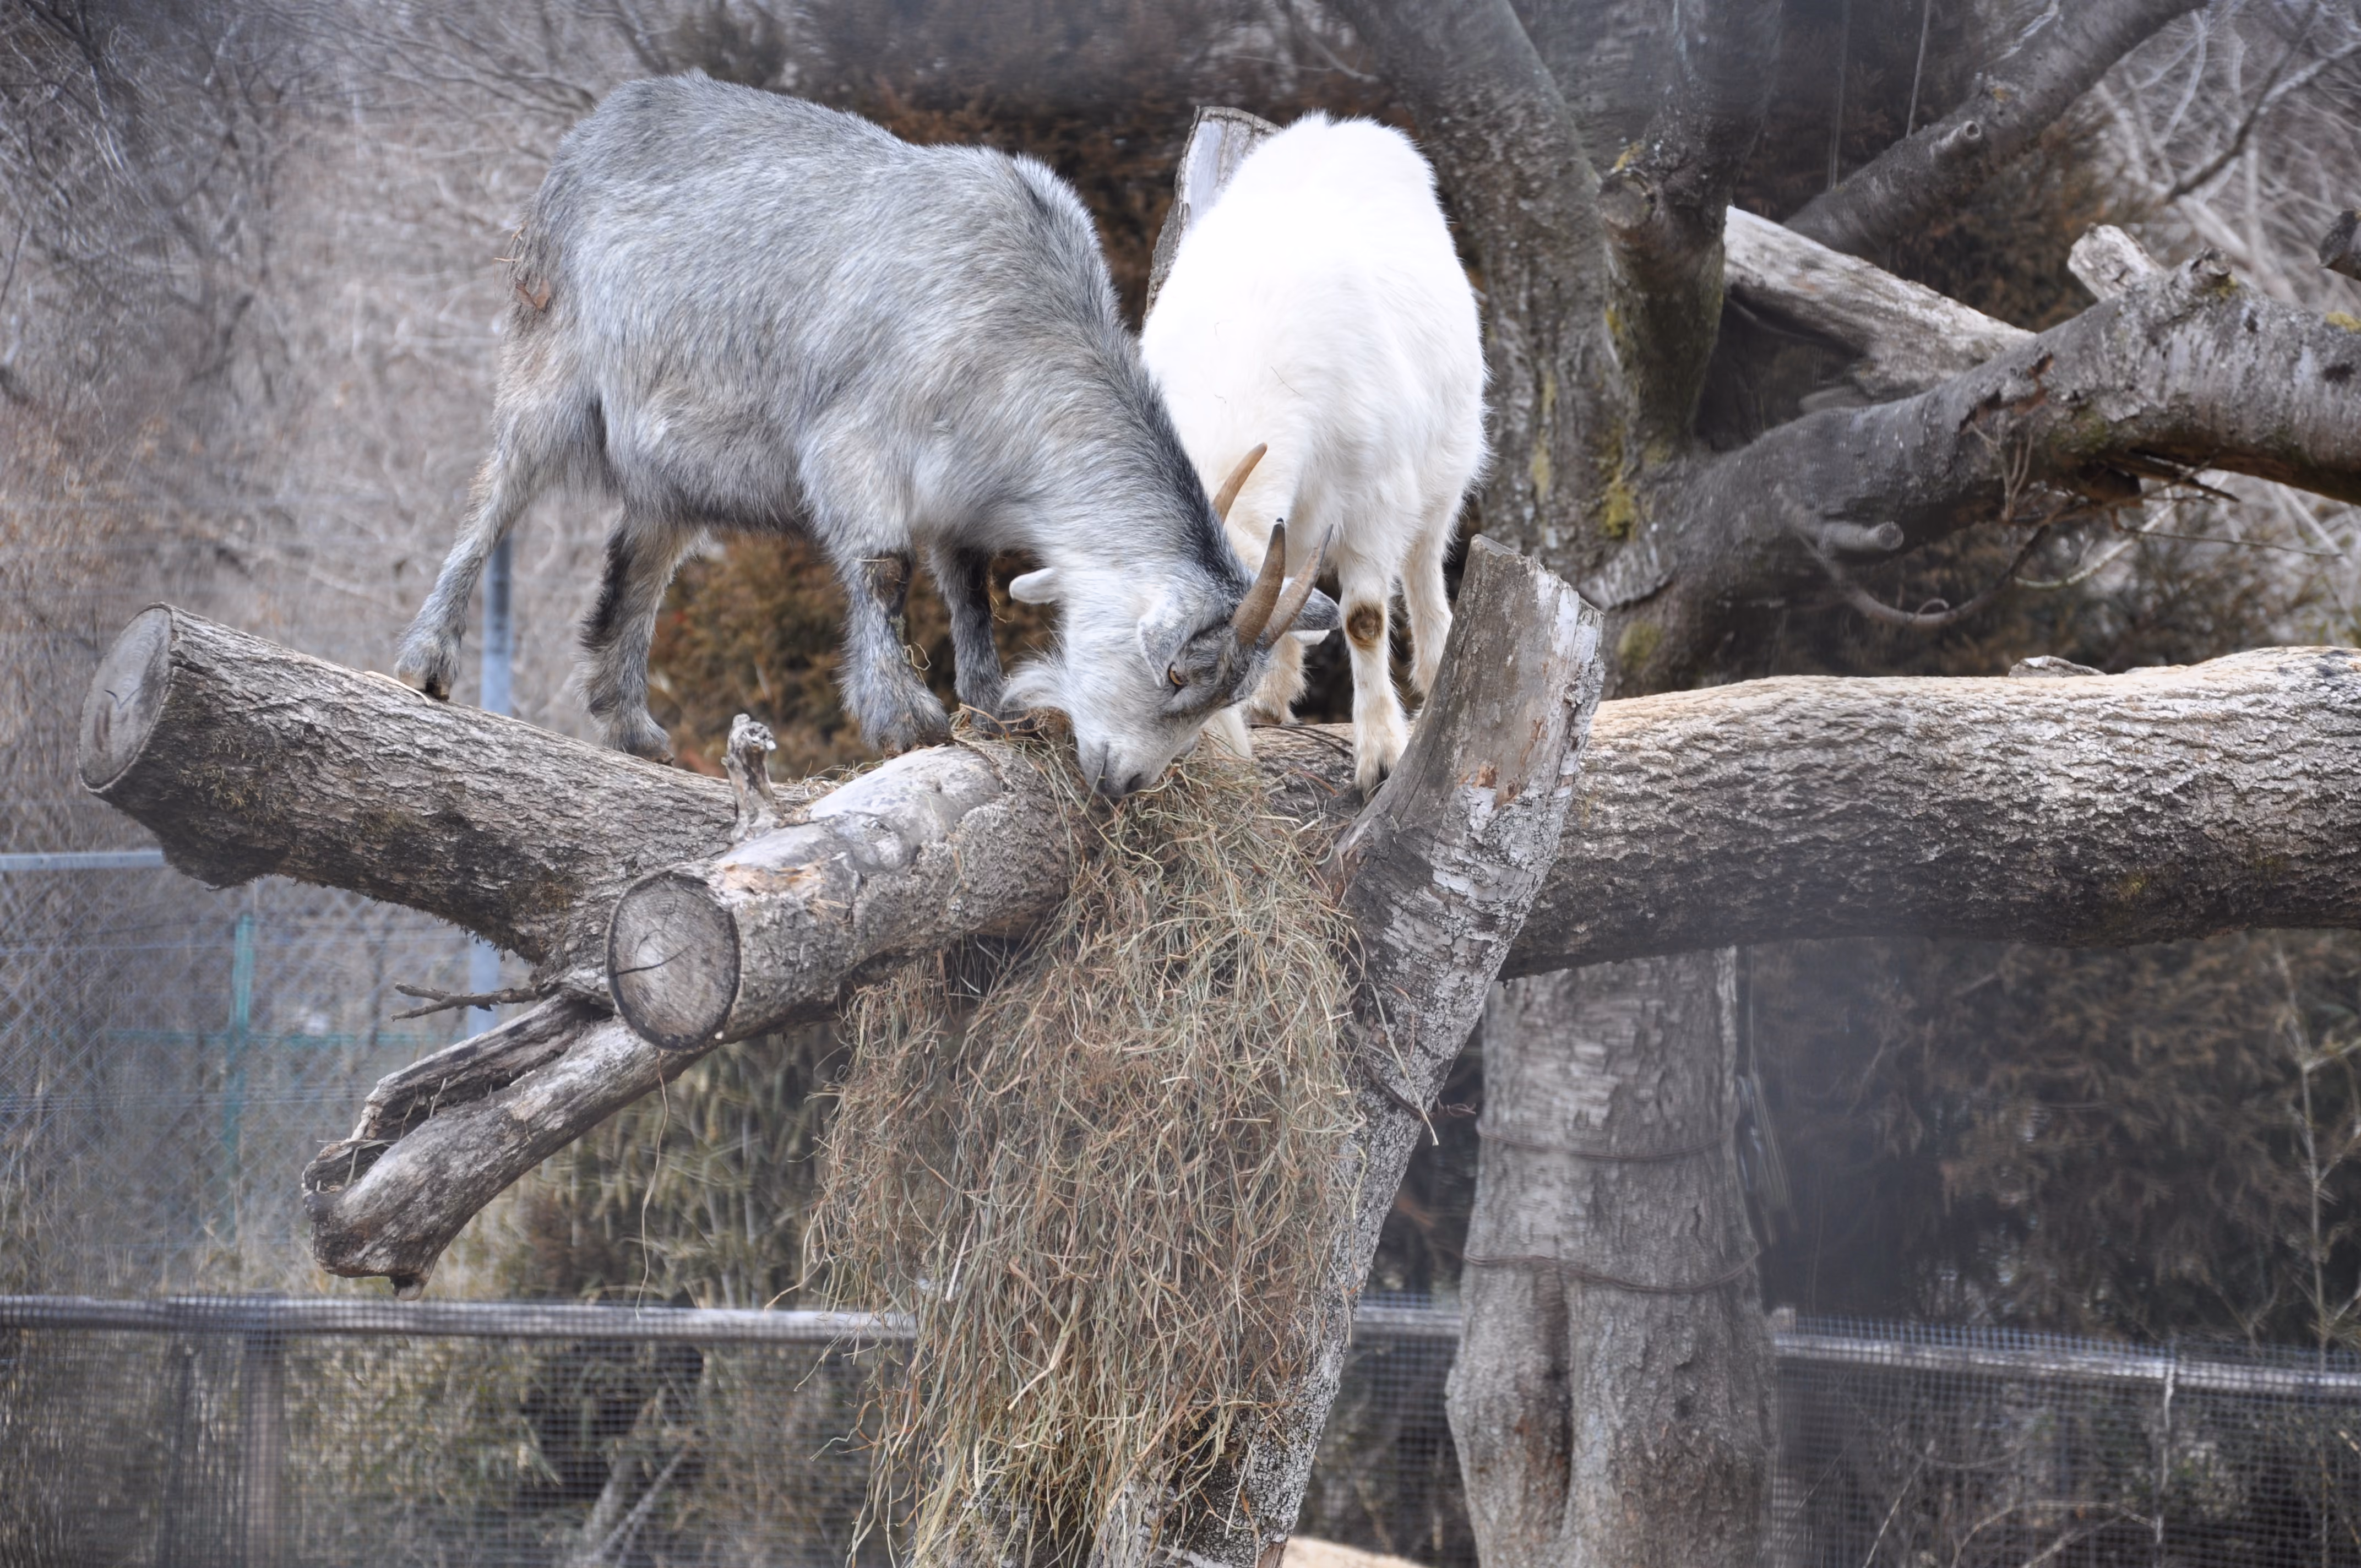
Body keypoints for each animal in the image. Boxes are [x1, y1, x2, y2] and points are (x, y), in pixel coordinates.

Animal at [392, 76, 1336, 798]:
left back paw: (633, 728)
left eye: (1222, 697)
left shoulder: (962, 496)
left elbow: (972, 593)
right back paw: (423, 663)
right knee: (493, 502)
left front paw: (993, 707)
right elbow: (884, 570)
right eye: (1178, 673)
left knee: (641, 556)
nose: (1125, 782)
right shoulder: (855, 448)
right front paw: (907, 720)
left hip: (675, 461)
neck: (1017, 325)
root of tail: (593, 130)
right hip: (546, 367)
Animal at [1140, 113, 1486, 797]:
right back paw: (1277, 702)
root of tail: (1343, 128)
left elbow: (1364, 617)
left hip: (1446, 461)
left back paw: (1439, 675)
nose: (1220, 767)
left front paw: (1380, 755)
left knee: (1425, 559)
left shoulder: (1376, 493)